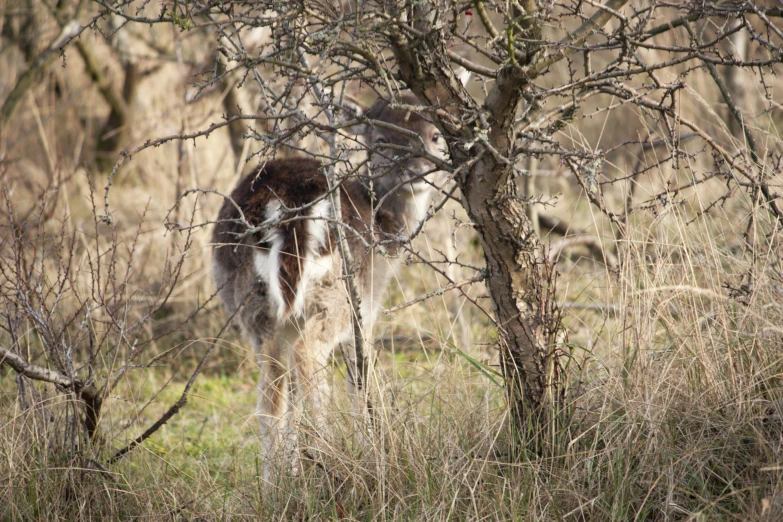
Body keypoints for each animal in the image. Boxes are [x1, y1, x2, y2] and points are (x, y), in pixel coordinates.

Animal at [213, 91, 448, 466]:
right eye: (380, 139)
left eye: (435, 134)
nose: (417, 172)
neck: (385, 230)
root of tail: (282, 211)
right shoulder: (367, 307)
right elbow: (360, 378)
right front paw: (370, 447)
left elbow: (288, 397)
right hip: (333, 296)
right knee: (309, 367)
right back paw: (326, 455)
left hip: (252, 306)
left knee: (271, 396)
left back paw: (278, 477)